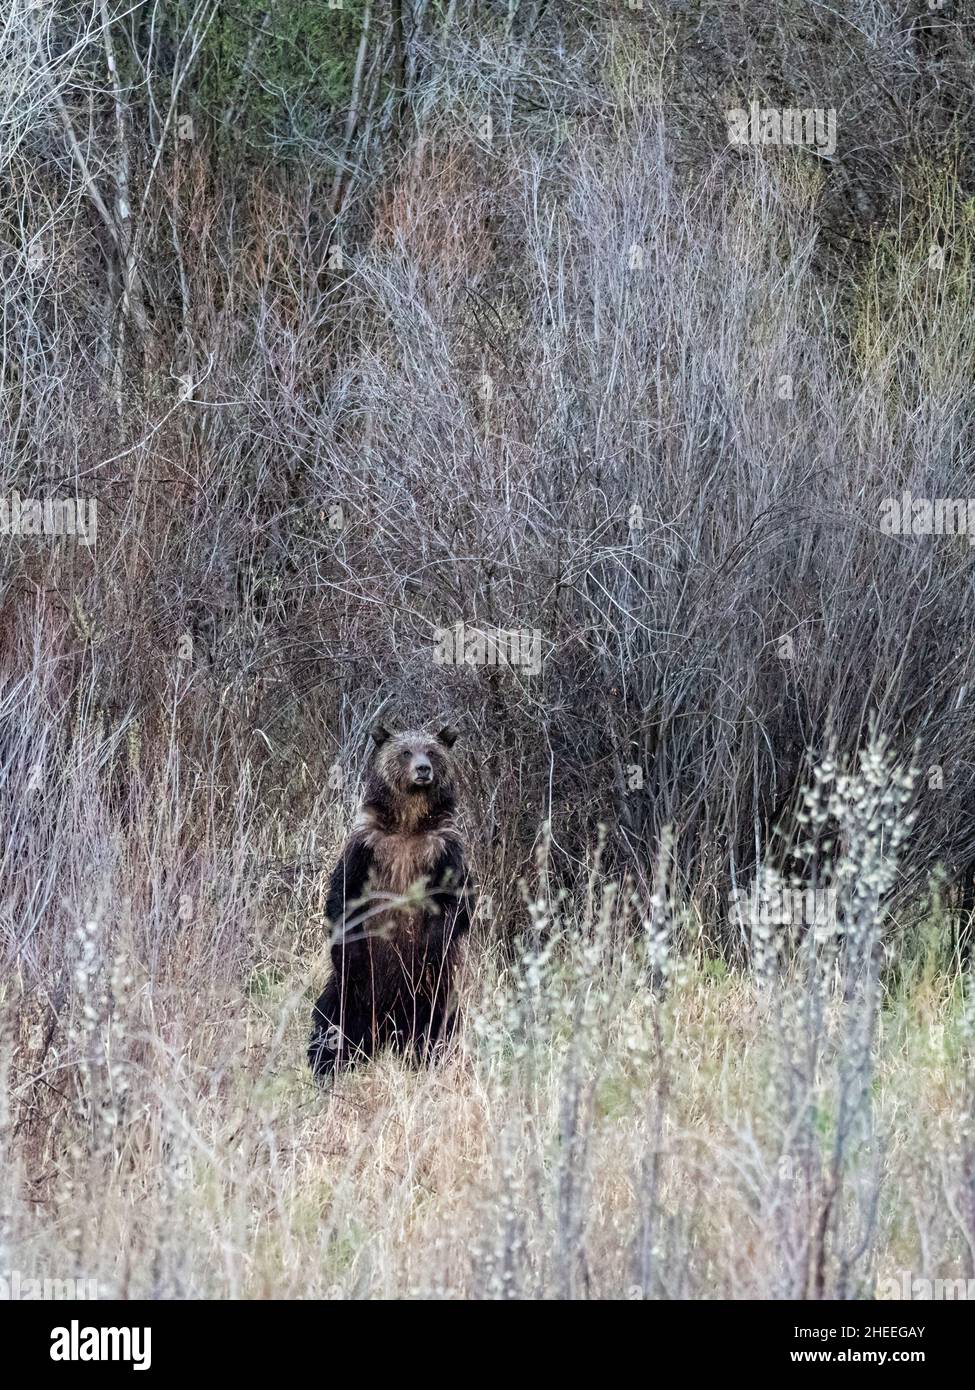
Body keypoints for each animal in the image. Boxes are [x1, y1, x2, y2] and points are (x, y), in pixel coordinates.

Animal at [305, 722, 470, 1078]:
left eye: (432, 750)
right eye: (406, 751)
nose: (423, 769)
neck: (409, 822)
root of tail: (386, 1026)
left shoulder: (445, 850)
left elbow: (456, 908)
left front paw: (433, 941)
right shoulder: (366, 846)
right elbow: (343, 897)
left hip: (433, 995)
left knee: (437, 1024)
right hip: (352, 994)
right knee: (331, 1021)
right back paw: (325, 1065)